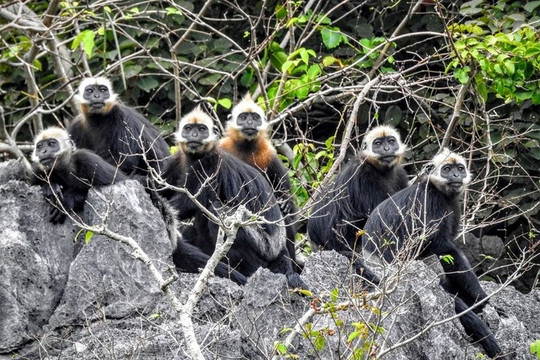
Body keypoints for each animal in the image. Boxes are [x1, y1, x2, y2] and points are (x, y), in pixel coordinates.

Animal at [163, 107, 308, 290]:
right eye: (188, 129)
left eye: (202, 129)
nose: (194, 136)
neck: (194, 158)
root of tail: (279, 248)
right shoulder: (177, 160)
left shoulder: (210, 164)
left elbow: (188, 203)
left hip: (263, 246)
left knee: (217, 210)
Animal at [306, 125, 408, 282]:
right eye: (378, 144)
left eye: (391, 141)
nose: (386, 149)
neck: (381, 170)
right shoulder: (363, 175)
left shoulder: (401, 175)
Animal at [362, 148, 506, 358]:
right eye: (446, 169)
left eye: (459, 169)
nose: (456, 176)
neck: (438, 191)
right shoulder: (430, 203)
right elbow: (445, 250)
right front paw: (483, 301)